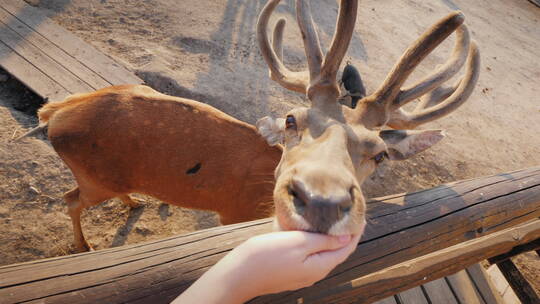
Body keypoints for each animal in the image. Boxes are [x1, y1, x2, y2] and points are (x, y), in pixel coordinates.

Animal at [17, 85, 282, 252]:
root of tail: (54, 113)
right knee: (70, 199)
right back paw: (85, 246)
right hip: (93, 180)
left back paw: (136, 202)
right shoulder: (235, 214)